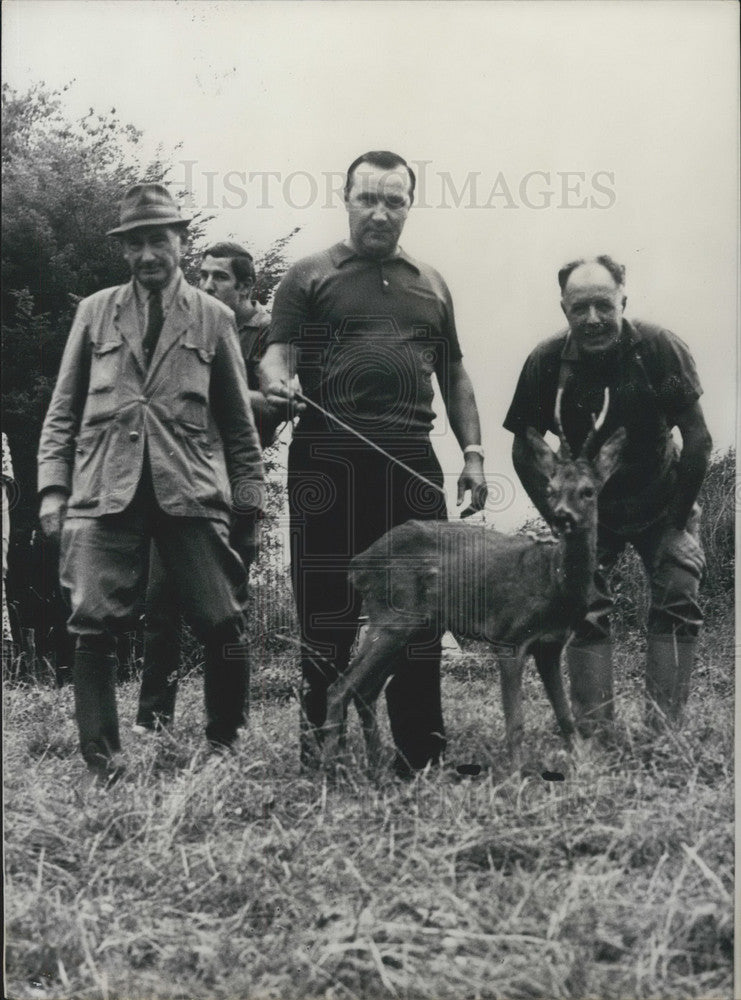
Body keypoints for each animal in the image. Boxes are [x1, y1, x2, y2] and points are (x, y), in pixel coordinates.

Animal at [322, 398, 624, 772]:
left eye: (588, 491)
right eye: (550, 490)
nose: (561, 516)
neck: (553, 582)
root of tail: (357, 565)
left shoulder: (550, 645)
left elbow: (565, 715)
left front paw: (583, 765)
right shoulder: (509, 635)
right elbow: (516, 722)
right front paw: (516, 773)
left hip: (411, 627)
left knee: (365, 690)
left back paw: (377, 767)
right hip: (391, 616)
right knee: (339, 688)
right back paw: (329, 768)